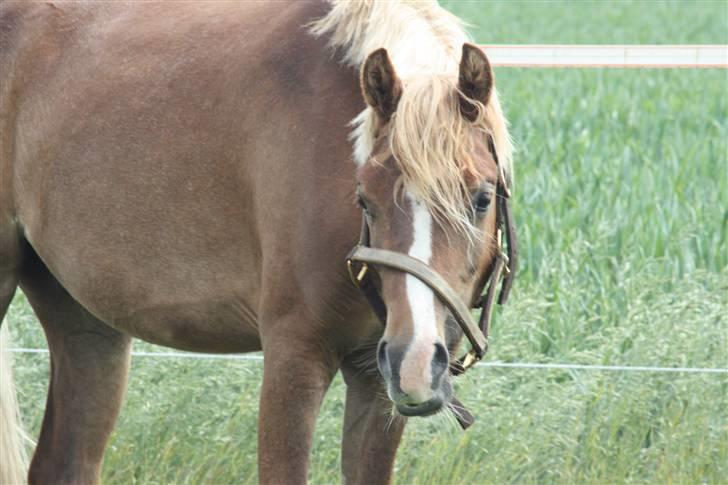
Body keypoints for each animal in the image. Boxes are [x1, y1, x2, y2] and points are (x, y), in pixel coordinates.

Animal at [0, 1, 512, 482]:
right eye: (364, 200)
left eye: (482, 198)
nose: (417, 358)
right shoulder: (294, 356)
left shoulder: (375, 379)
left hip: (86, 322)